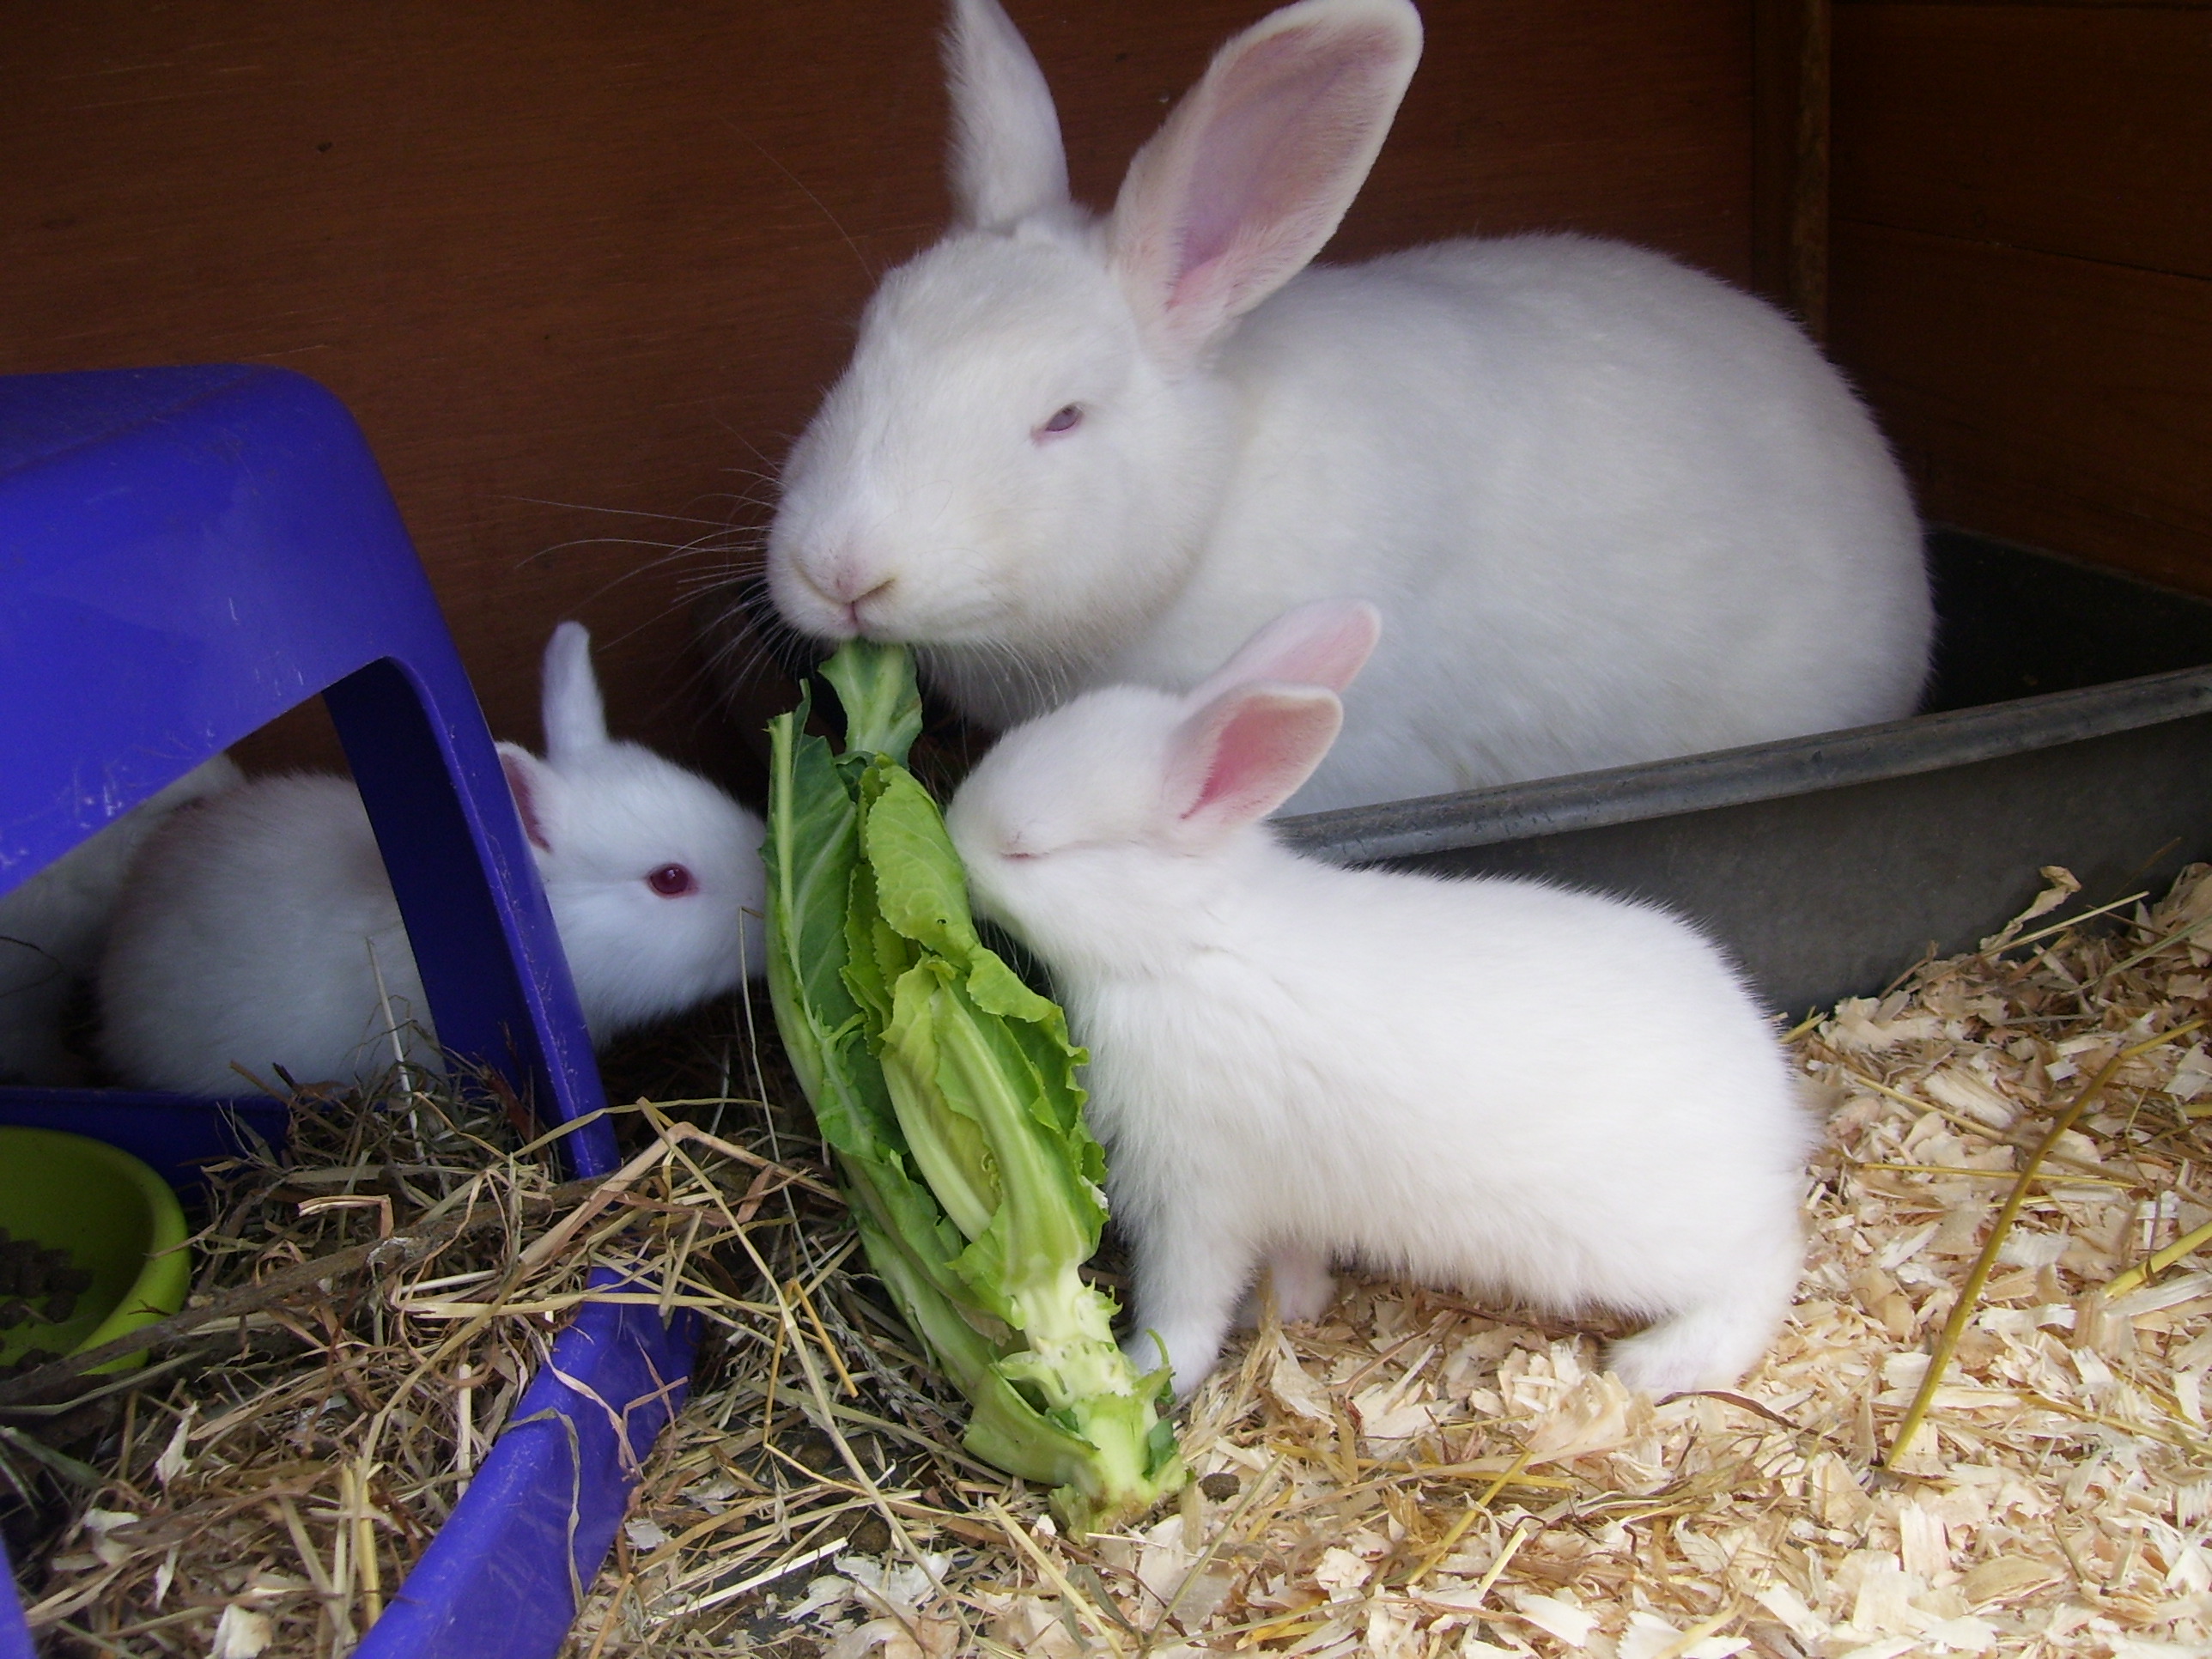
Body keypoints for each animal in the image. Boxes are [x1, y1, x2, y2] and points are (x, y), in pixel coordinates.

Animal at [942, 598, 1815, 1398]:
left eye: (1026, 851)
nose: (949, 838)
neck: (1189, 945)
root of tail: (1775, 1110)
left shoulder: (1196, 1197)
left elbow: (1188, 1302)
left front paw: (1148, 1376)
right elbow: (1291, 1259)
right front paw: (1291, 1306)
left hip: (1661, 1240)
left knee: (1767, 1263)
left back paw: (1657, 1365)